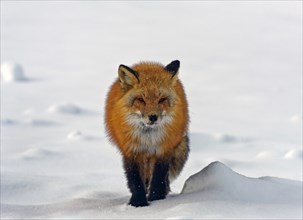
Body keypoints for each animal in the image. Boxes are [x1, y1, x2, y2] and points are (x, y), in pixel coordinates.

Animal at [105, 59, 190, 206]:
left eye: (162, 99)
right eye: (141, 99)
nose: (153, 117)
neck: (148, 138)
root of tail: (148, 63)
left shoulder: (163, 150)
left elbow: (158, 178)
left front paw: (157, 199)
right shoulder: (132, 151)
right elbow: (135, 179)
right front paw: (138, 203)